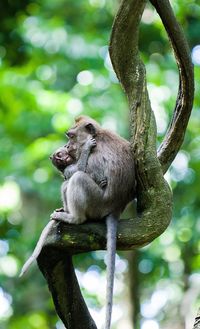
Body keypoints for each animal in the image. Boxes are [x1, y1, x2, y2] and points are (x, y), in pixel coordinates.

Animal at [19, 136, 103, 276]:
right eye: (58, 159)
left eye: (59, 155)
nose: (62, 159)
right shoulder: (68, 169)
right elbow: (79, 170)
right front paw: (86, 147)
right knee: (68, 183)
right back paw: (71, 216)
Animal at [50, 114, 136, 328]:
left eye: (70, 136)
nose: (67, 146)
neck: (100, 135)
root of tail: (115, 207)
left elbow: (84, 173)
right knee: (74, 179)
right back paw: (69, 214)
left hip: (97, 202)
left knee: (77, 178)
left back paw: (73, 217)